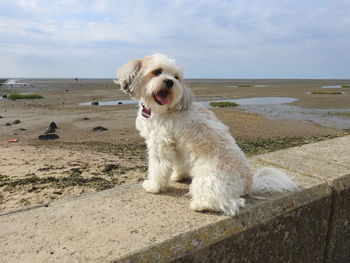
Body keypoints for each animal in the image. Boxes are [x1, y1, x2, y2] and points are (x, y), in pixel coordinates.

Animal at [117, 54, 298, 217]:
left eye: (176, 77)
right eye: (157, 72)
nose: (169, 81)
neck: (166, 109)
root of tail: (249, 183)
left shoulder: (160, 144)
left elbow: (158, 167)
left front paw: (153, 186)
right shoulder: (178, 147)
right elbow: (179, 163)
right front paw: (177, 176)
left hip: (208, 180)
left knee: (230, 203)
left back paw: (201, 205)